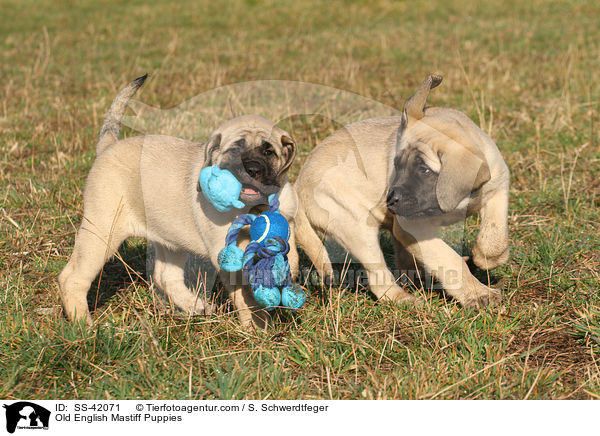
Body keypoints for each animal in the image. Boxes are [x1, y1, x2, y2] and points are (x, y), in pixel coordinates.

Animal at [58, 75, 298, 328]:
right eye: (234, 150)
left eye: (268, 152)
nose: (252, 169)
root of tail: (108, 147)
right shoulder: (225, 249)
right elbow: (245, 292)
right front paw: (257, 326)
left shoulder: (289, 222)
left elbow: (290, 254)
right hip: (102, 233)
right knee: (72, 278)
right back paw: (83, 325)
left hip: (169, 238)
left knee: (164, 276)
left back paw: (197, 306)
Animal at [292, 74, 508, 306]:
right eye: (396, 165)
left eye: (423, 170)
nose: (390, 200)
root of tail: (298, 184)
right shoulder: (412, 226)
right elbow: (447, 258)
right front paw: (479, 294)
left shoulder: (498, 188)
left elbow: (495, 236)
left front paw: (484, 258)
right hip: (356, 227)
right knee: (380, 281)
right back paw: (405, 299)